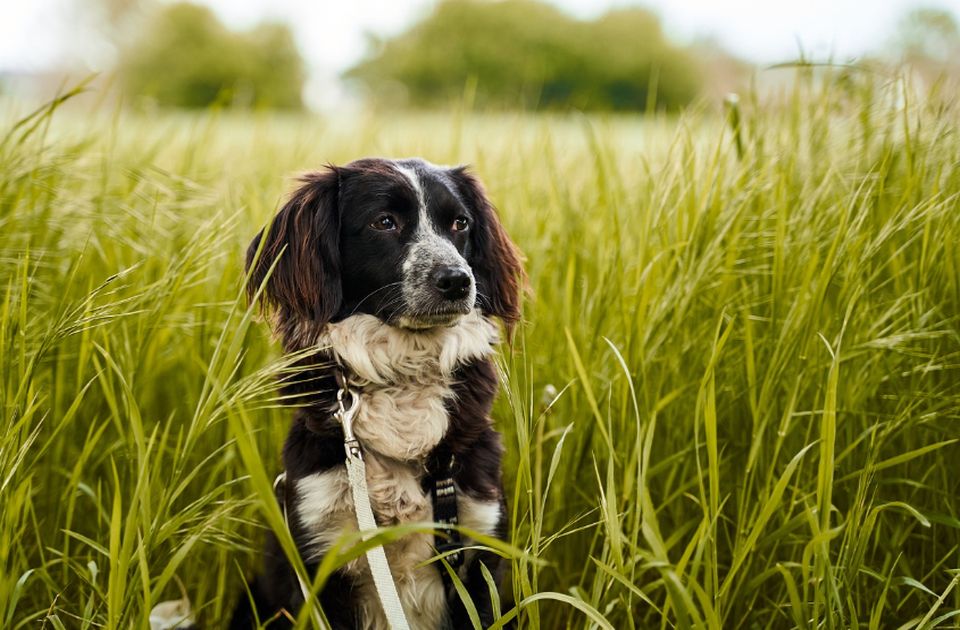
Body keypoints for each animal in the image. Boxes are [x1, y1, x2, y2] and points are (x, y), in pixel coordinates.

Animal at [232, 159, 524, 630]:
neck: (404, 376)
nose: (458, 280)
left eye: (460, 223)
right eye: (383, 222)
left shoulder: (478, 549)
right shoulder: (322, 557)